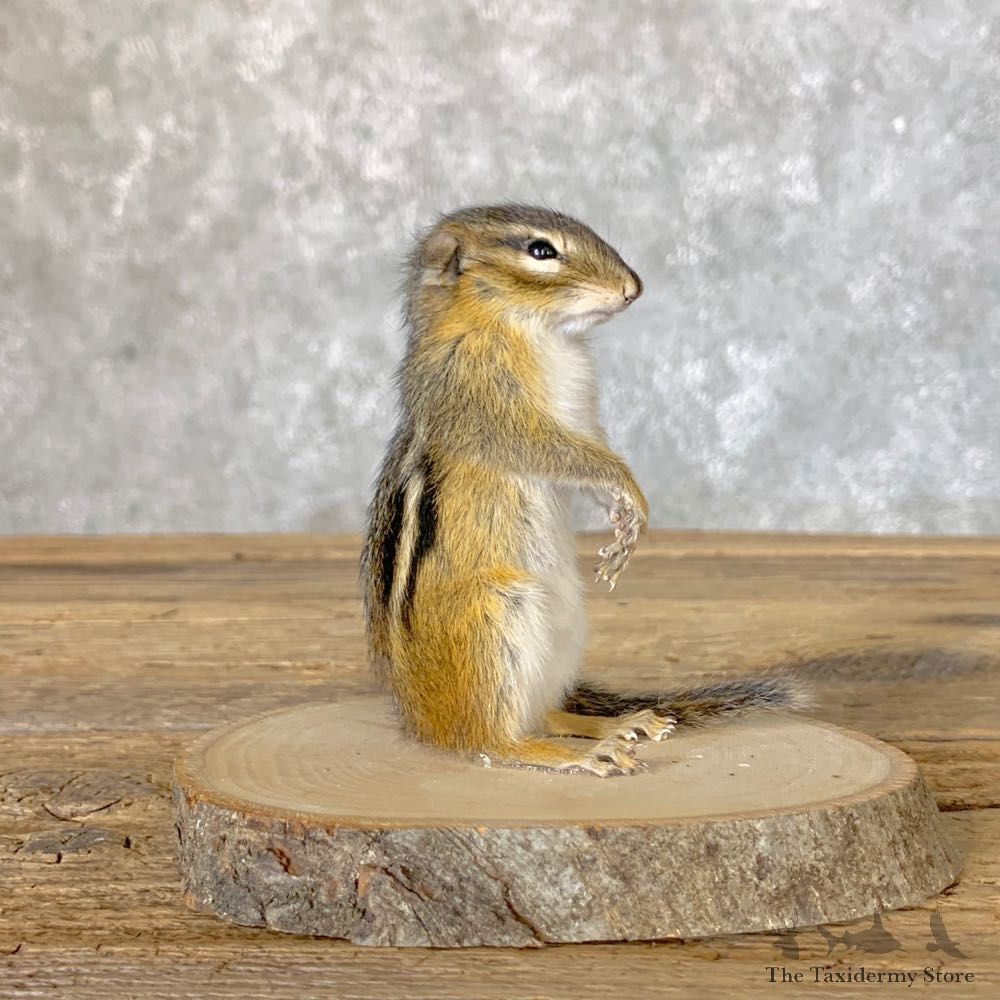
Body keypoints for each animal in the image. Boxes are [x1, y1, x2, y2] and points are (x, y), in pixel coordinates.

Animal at [361, 204, 806, 776]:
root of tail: (418, 718)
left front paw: (624, 521)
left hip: (565, 626)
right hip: (497, 623)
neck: (542, 333)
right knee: (491, 739)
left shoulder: (583, 416)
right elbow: (561, 453)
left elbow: (589, 455)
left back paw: (613, 725)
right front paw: (629, 493)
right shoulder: (486, 398)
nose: (633, 288)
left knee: (544, 714)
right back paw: (581, 753)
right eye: (541, 251)